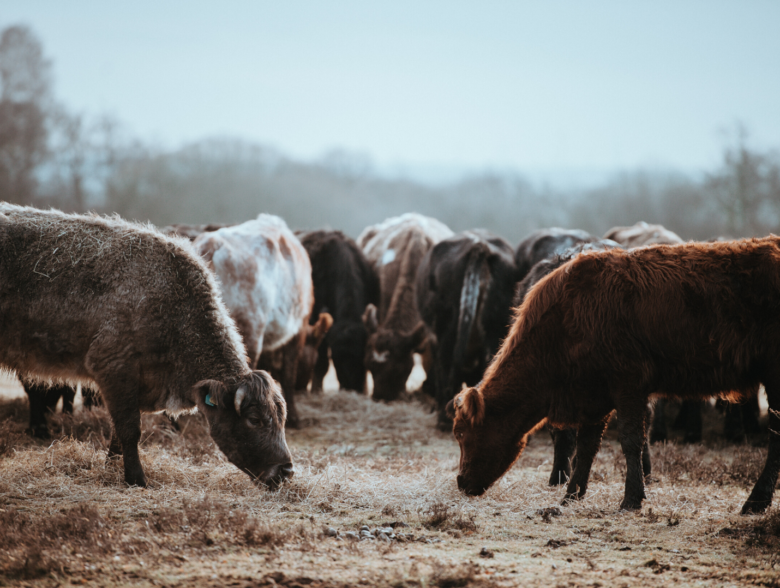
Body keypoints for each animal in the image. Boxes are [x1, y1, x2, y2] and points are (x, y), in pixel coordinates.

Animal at [0, 204, 292, 490]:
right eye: (254, 419)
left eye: (281, 418)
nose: (286, 470)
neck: (173, 305)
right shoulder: (114, 370)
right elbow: (130, 431)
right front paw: (136, 478)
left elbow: (117, 433)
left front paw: (113, 468)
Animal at [448, 239, 780, 516]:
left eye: (461, 433)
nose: (461, 481)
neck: (567, 320)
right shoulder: (594, 396)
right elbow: (585, 448)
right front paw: (570, 496)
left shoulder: (628, 385)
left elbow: (631, 441)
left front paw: (631, 499)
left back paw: (756, 501)